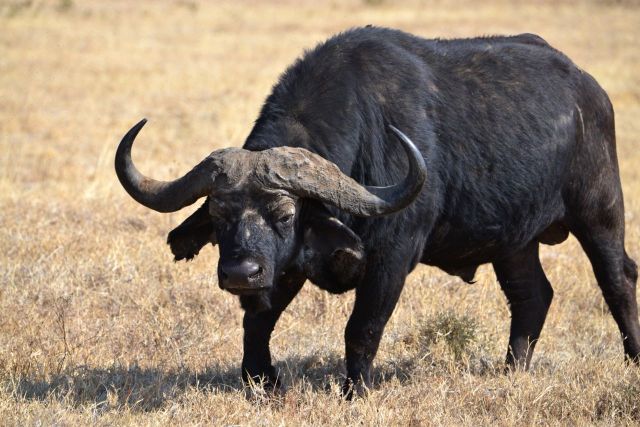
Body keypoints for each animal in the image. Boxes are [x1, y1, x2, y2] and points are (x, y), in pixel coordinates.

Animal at [115, 27, 639, 397]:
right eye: (221, 216)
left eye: (285, 215)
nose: (240, 272)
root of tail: (589, 92)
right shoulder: (285, 266)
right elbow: (257, 323)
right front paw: (260, 382)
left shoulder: (392, 257)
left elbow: (362, 327)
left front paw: (356, 391)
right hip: (514, 241)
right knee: (532, 296)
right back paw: (511, 371)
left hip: (600, 212)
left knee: (617, 278)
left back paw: (632, 359)